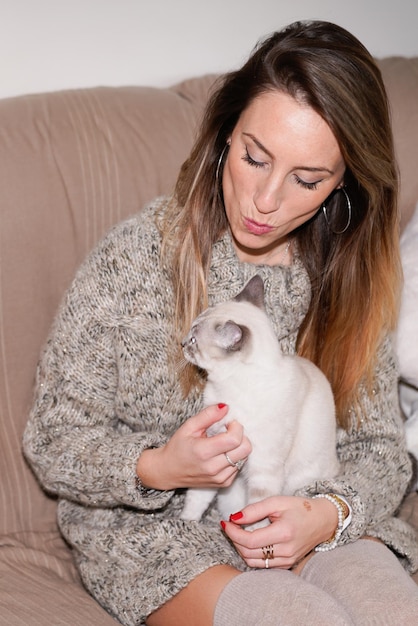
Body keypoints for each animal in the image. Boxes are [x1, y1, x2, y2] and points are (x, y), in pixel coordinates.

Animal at [180, 276, 340, 524]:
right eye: (190, 334)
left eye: (194, 339)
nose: (182, 343)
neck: (230, 386)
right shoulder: (212, 451)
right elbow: (197, 497)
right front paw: (186, 521)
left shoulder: (264, 470)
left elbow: (256, 515)